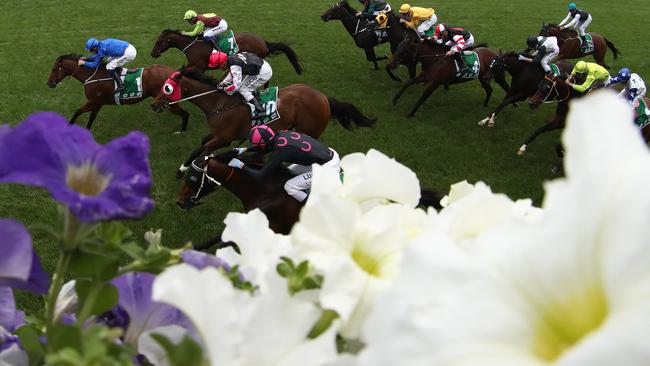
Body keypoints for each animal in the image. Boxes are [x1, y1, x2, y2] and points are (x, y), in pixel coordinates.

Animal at [46, 54, 189, 132]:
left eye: (54, 69)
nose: (49, 83)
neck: (93, 75)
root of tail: (173, 73)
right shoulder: (98, 103)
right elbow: (91, 117)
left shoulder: (93, 101)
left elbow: (77, 111)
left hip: (168, 101)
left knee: (185, 113)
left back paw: (181, 132)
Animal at [149, 29, 302, 74]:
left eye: (159, 42)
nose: (153, 54)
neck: (193, 46)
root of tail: (263, 43)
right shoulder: (192, 65)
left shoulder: (199, 67)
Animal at [150, 69, 374, 179]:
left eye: (167, 88)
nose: (154, 105)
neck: (220, 104)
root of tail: (324, 98)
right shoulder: (217, 135)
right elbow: (201, 145)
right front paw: (185, 168)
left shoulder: (223, 138)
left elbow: (199, 150)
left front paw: (183, 170)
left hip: (309, 130)